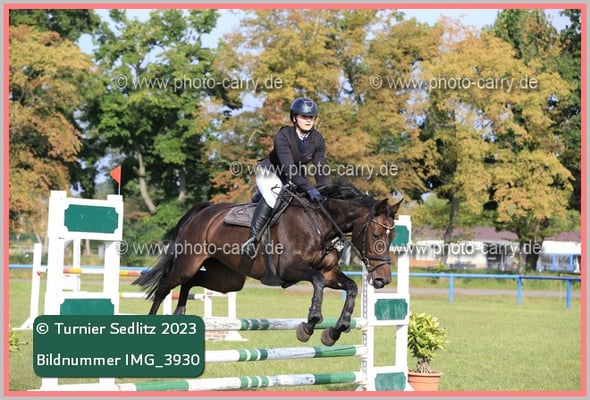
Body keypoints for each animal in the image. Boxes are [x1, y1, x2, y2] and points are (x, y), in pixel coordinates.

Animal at [133, 180, 402, 346]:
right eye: (376, 235)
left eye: (393, 237)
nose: (383, 279)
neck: (320, 224)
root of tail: (203, 212)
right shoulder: (291, 269)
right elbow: (316, 282)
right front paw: (309, 324)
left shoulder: (329, 272)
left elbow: (351, 287)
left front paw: (335, 330)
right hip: (188, 262)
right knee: (165, 287)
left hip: (227, 278)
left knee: (192, 282)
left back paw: (180, 315)